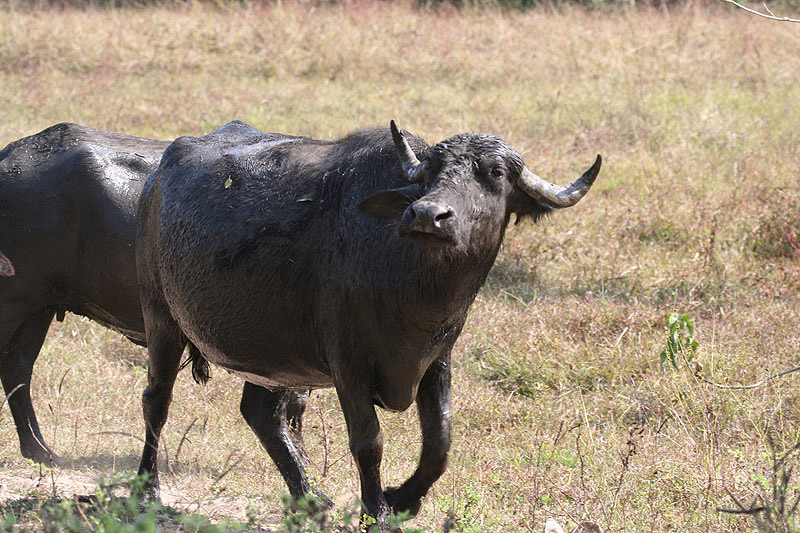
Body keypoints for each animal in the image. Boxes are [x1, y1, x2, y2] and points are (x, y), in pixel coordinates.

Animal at [0, 124, 310, 489]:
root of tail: (8, 158)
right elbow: (289, 406)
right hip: (13, 301)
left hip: (38, 306)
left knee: (17, 367)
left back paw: (39, 449)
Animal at [136, 119, 600, 529]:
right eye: (432, 171)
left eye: (495, 174)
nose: (427, 215)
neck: (411, 284)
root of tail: (155, 180)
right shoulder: (349, 363)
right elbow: (369, 442)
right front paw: (377, 512)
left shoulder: (437, 359)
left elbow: (440, 442)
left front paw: (403, 499)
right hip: (161, 319)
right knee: (157, 402)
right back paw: (147, 493)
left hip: (273, 356)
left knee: (262, 414)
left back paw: (311, 498)